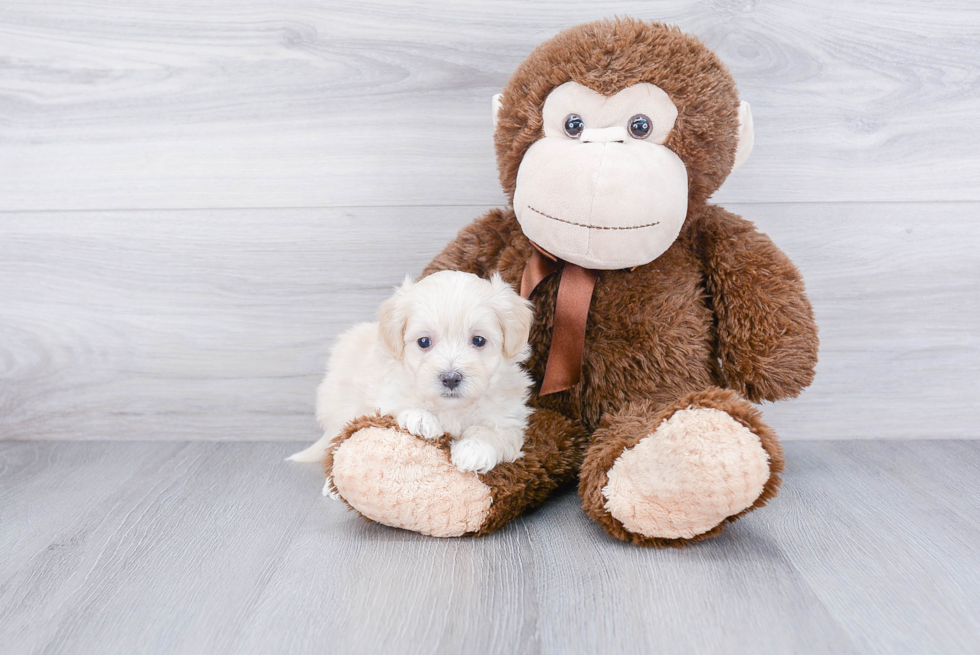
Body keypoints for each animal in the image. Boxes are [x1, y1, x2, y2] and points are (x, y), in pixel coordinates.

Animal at [290, 270, 536, 490]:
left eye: (478, 340)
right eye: (424, 342)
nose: (450, 378)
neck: (451, 408)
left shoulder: (509, 419)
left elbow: (493, 431)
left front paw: (474, 450)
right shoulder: (385, 394)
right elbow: (398, 406)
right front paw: (420, 419)